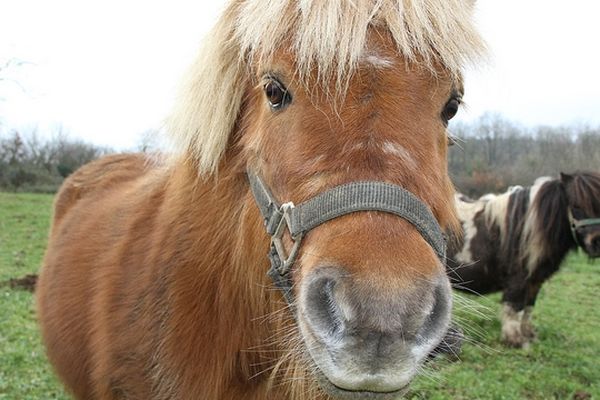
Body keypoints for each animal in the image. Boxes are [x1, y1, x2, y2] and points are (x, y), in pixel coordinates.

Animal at [448, 171, 600, 346]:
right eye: (576, 206)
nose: (597, 242)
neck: (529, 228)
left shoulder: (535, 281)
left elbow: (528, 307)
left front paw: (529, 335)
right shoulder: (518, 279)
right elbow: (515, 308)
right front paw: (515, 340)